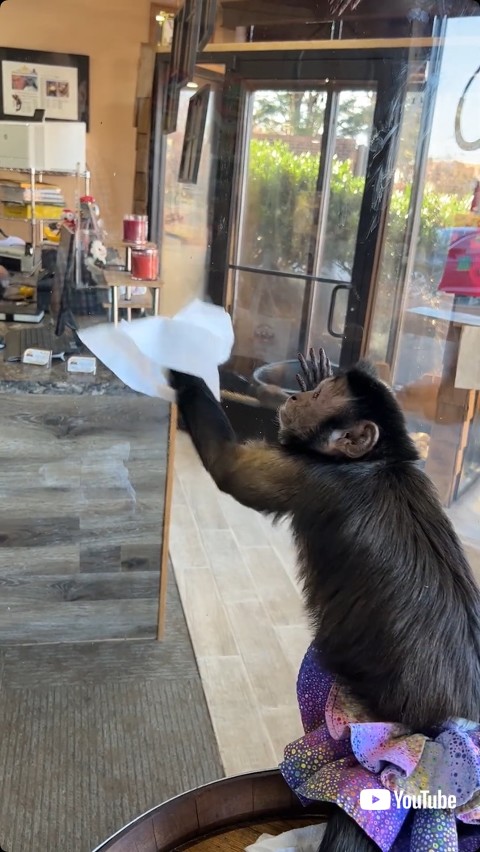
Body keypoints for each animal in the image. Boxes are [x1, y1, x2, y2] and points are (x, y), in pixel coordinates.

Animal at [169, 349, 480, 852]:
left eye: (317, 400)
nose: (298, 397)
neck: (383, 461)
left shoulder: (314, 476)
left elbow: (229, 468)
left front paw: (180, 365)